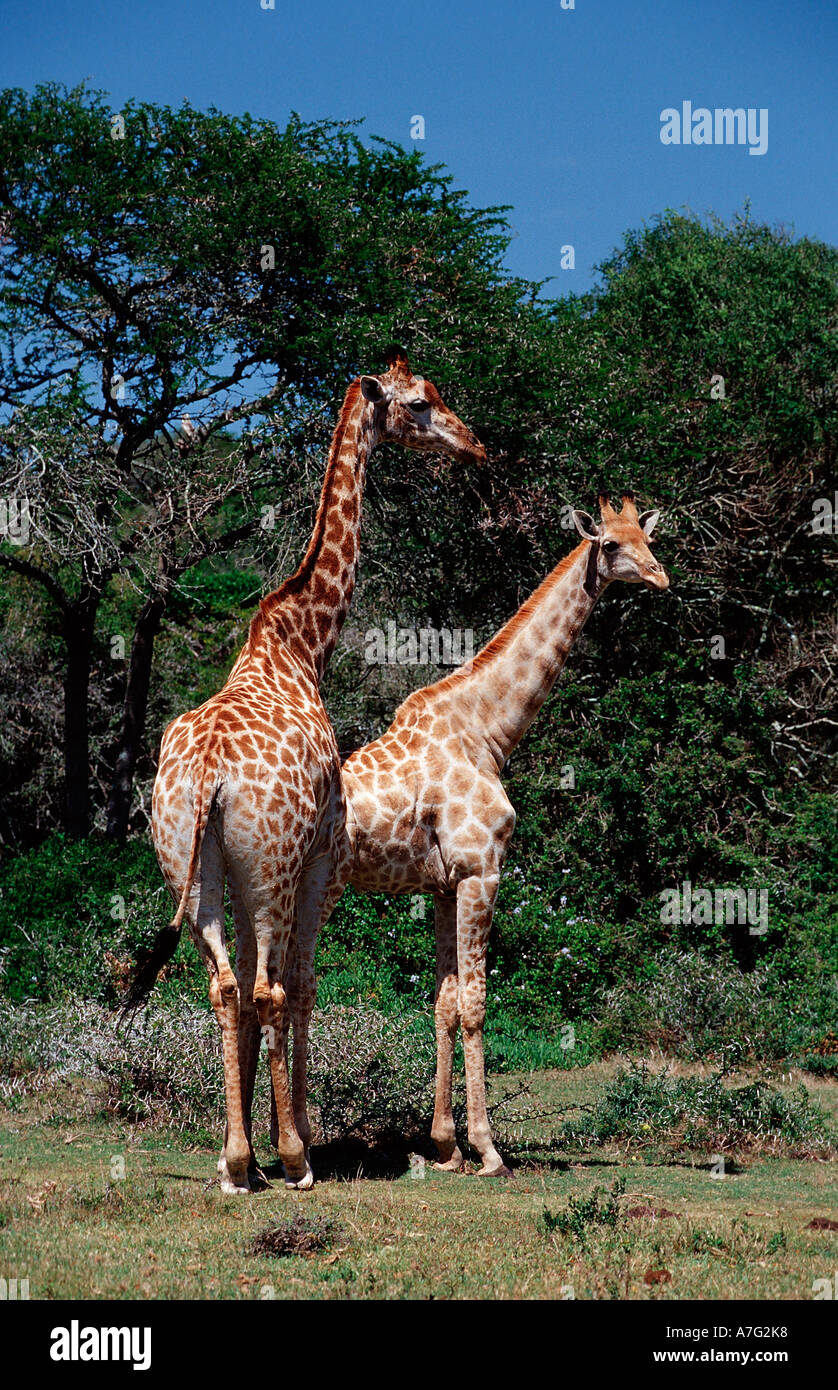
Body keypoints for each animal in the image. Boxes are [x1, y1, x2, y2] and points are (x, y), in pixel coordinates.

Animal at [123, 347, 486, 1195]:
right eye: (420, 404)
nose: (473, 446)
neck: (297, 643)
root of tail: (209, 777)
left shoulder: (253, 870)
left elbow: (264, 994)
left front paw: (253, 1148)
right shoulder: (319, 855)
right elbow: (302, 987)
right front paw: (296, 1145)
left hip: (191, 865)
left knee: (225, 986)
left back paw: (235, 1162)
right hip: (272, 862)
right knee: (265, 987)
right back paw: (289, 1159)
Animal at [293, 489, 669, 1173]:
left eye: (648, 539)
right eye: (610, 544)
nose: (661, 577)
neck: (487, 731)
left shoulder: (445, 884)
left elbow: (443, 1003)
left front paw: (444, 1144)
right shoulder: (480, 871)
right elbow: (475, 1003)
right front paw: (487, 1149)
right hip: (313, 887)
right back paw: (294, 1145)